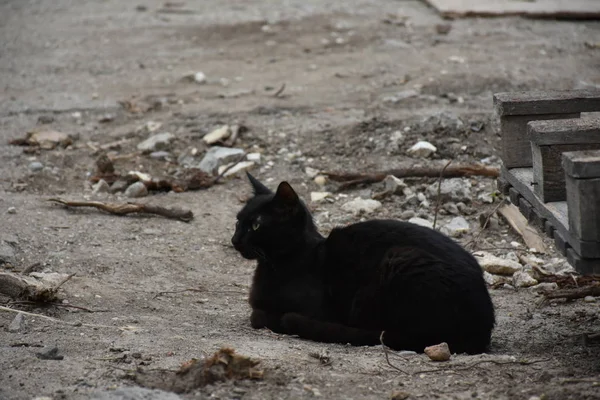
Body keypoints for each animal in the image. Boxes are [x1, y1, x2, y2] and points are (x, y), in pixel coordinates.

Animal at [232, 173, 494, 354]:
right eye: (237, 221)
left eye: (255, 225)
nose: (234, 240)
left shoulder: (315, 310)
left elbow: (257, 315)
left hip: (398, 260)